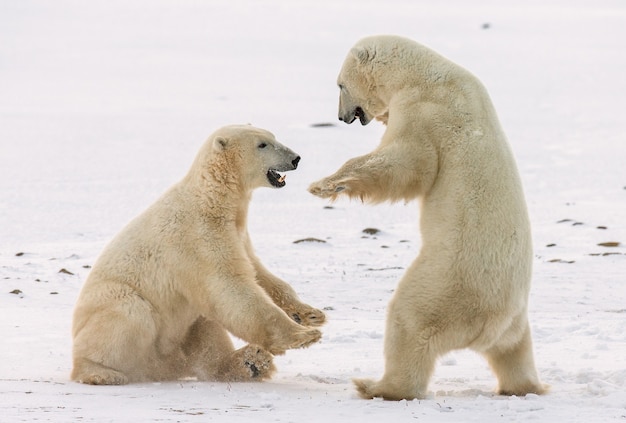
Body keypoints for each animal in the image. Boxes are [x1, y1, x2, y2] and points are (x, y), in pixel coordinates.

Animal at [72, 124, 324, 386]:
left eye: (273, 137)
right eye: (262, 144)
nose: (295, 158)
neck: (212, 199)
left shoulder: (238, 233)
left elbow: (258, 272)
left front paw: (310, 314)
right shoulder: (199, 237)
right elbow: (232, 288)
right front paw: (304, 335)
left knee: (204, 330)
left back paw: (250, 362)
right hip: (113, 305)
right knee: (132, 315)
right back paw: (100, 373)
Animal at [310, 35, 544, 400]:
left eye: (340, 85)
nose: (341, 116)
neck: (421, 74)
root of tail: (487, 326)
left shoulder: (427, 110)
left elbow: (407, 163)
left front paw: (325, 184)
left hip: (443, 285)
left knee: (408, 321)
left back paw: (375, 385)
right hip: (514, 322)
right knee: (515, 351)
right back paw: (526, 385)